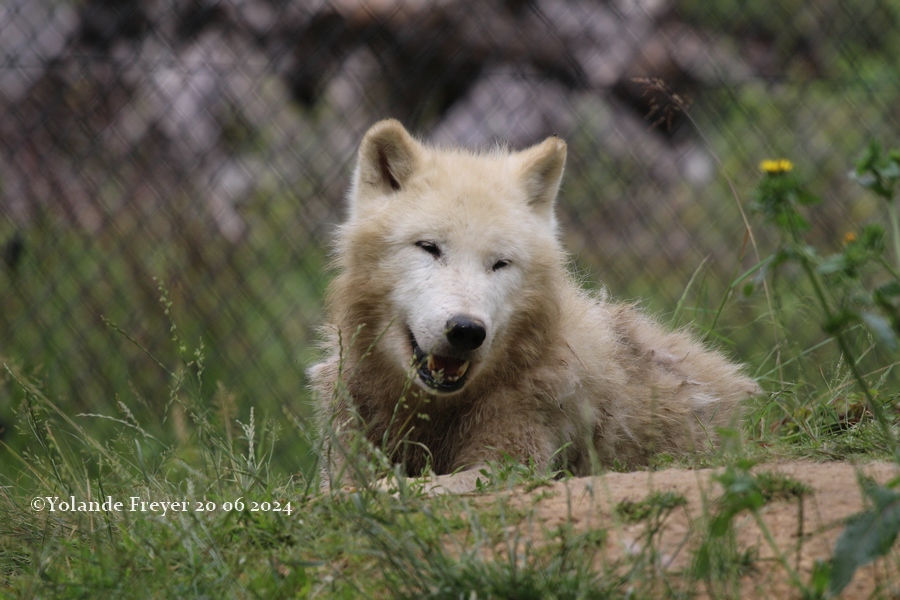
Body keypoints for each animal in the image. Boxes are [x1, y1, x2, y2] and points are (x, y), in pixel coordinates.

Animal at [310, 119, 760, 494]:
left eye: (500, 264)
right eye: (429, 247)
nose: (467, 330)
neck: (436, 411)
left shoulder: (510, 463)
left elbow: (391, 489)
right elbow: (340, 488)